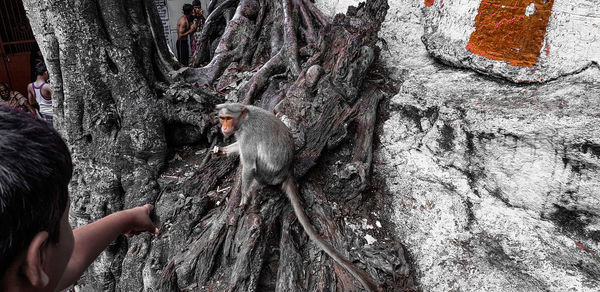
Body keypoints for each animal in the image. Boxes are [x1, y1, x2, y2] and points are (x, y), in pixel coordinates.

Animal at [213, 103, 378, 292]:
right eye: (222, 118)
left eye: (228, 118)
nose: (224, 127)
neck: (244, 119)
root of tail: (287, 171)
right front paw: (221, 151)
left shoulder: (248, 135)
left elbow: (248, 166)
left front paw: (244, 198)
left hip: (268, 174)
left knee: (256, 168)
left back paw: (256, 190)